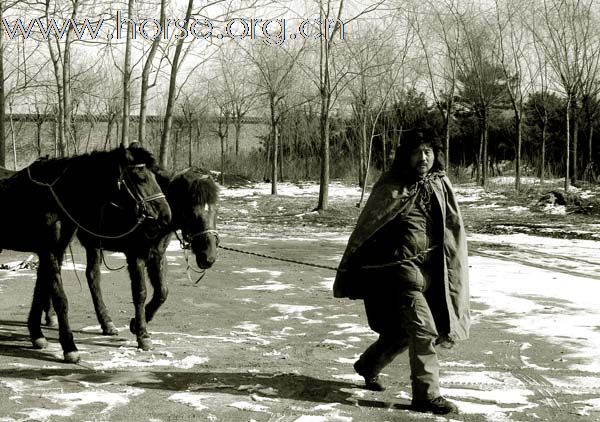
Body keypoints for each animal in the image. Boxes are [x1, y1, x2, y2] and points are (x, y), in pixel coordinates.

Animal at [0, 146, 171, 362]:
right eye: (141, 178)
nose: (166, 215)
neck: (54, 199)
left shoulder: (54, 250)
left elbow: (41, 289)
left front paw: (37, 334)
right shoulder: (49, 251)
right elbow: (60, 298)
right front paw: (69, 346)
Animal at [47, 165, 218, 350]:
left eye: (215, 210)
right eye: (191, 211)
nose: (209, 257)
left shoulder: (157, 256)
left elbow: (162, 292)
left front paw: (135, 324)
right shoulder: (135, 257)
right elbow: (140, 293)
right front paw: (142, 335)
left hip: (93, 244)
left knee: (92, 276)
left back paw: (106, 323)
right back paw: (51, 315)